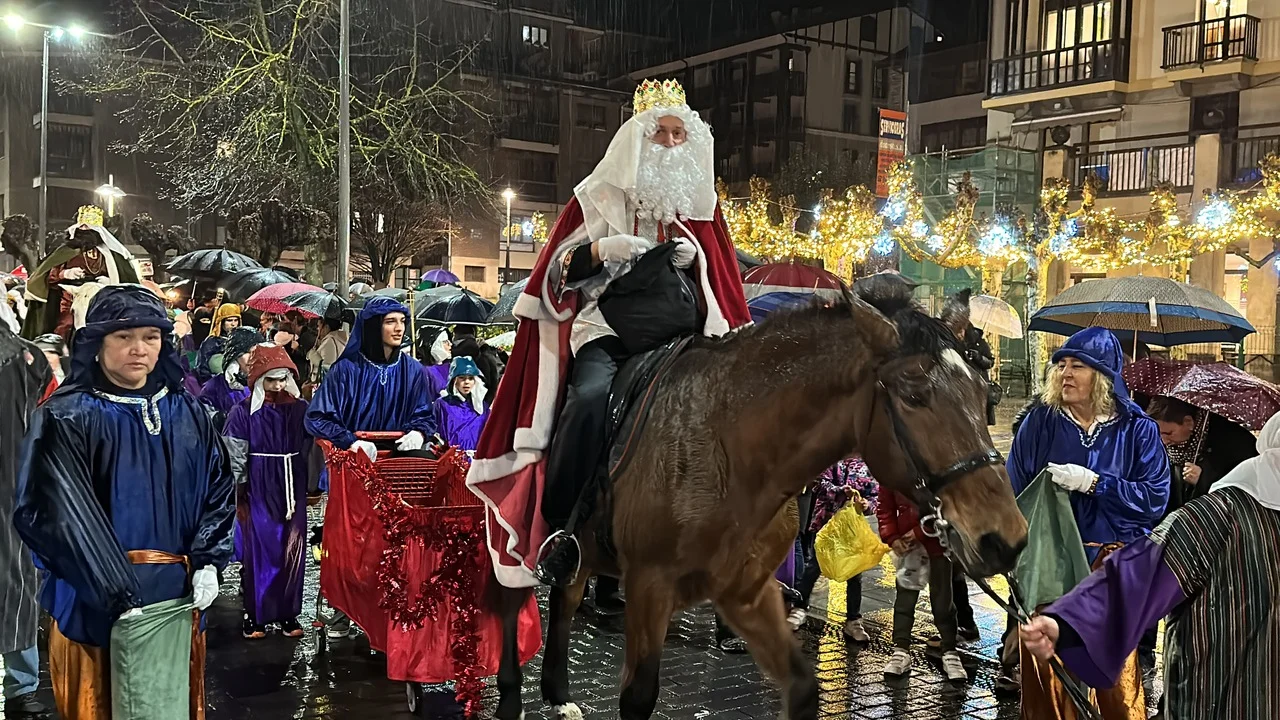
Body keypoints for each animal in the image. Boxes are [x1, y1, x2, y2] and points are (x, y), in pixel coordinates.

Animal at [490, 277, 1029, 720]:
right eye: (914, 395)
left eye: (984, 394)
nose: (1006, 537)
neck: (729, 449)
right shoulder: (649, 585)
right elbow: (638, 697)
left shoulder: (746, 590)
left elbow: (802, 686)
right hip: (516, 534)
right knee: (508, 602)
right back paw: (513, 695)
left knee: (565, 595)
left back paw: (557, 694)